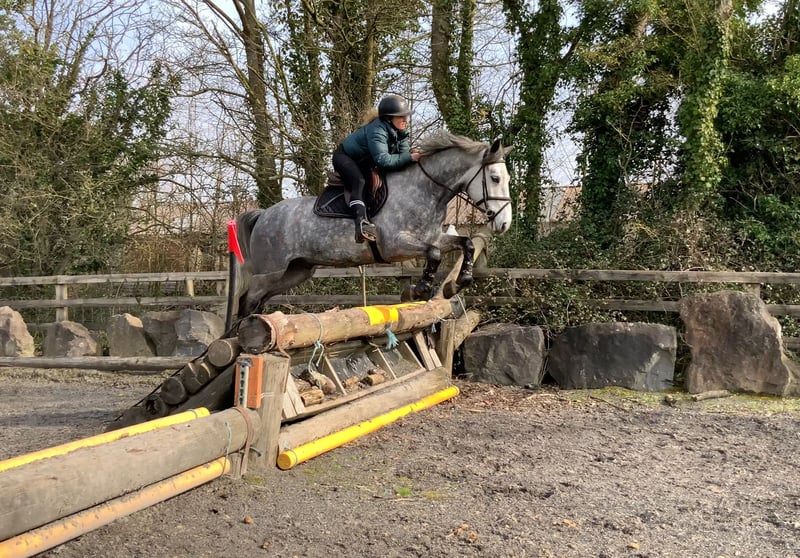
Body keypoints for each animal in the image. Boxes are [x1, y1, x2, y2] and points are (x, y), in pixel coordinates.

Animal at [229, 133, 513, 320]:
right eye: (495, 178)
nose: (504, 223)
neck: (425, 190)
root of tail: (263, 215)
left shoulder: (434, 237)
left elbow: (465, 243)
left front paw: (456, 284)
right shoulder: (395, 246)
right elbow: (433, 254)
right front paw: (420, 289)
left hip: (296, 272)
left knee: (258, 300)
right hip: (271, 271)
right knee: (247, 299)